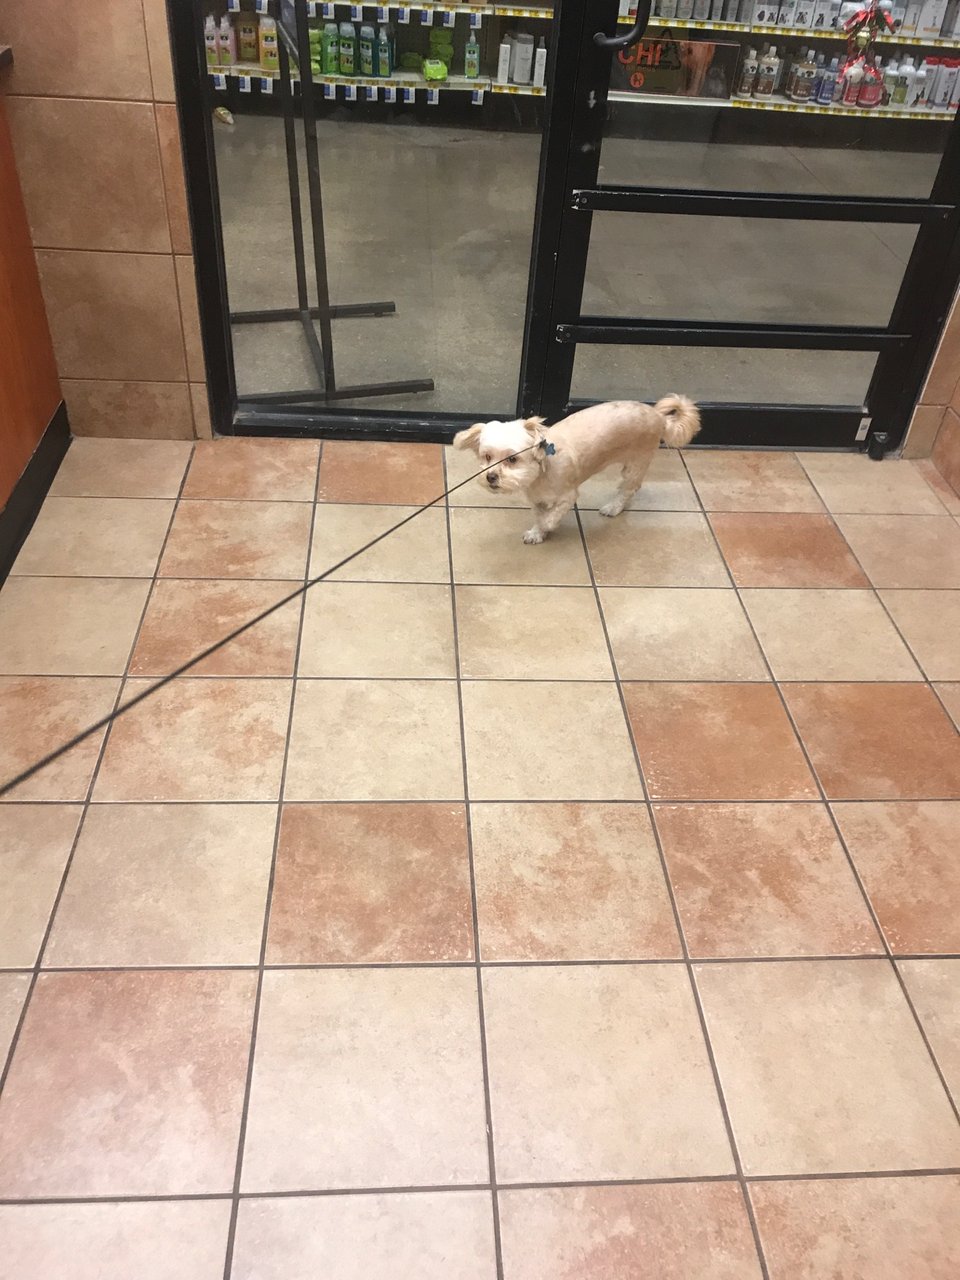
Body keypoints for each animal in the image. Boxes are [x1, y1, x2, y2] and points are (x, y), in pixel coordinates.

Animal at [453, 396, 700, 543]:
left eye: (512, 459)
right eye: (487, 457)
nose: (491, 476)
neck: (541, 473)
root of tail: (658, 416)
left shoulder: (567, 496)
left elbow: (550, 518)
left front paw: (546, 527)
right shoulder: (537, 499)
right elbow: (540, 515)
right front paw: (537, 533)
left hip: (637, 461)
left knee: (629, 488)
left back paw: (614, 507)